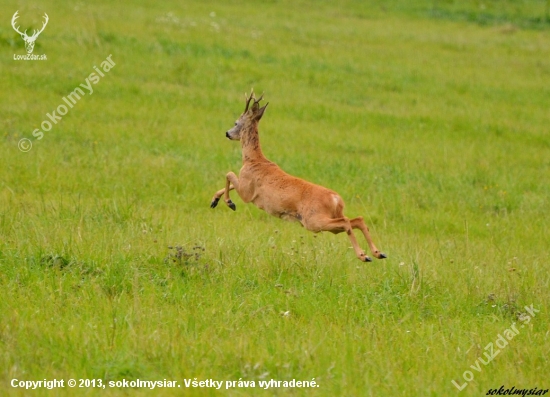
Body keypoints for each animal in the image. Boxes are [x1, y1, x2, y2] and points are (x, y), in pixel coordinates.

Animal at [211, 91, 388, 262]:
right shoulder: (245, 185)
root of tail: (336, 199)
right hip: (329, 217)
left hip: (313, 220)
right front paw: (214, 201)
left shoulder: (247, 192)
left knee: (346, 223)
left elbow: (229, 174)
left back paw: (364, 255)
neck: (254, 159)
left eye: (236, 122)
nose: (227, 133)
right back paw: (378, 253)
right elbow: (230, 181)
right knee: (357, 220)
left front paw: (230, 203)